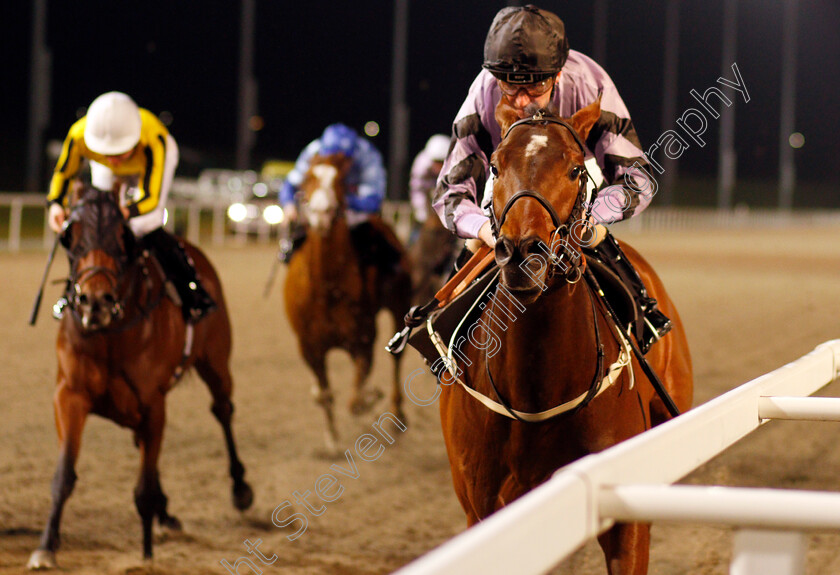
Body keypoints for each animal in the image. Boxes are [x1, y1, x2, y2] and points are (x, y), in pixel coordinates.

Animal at [28, 184, 253, 572]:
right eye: (72, 236)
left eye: (123, 238)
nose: (95, 301)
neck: (111, 334)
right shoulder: (71, 395)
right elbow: (63, 475)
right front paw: (46, 547)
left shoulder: (153, 405)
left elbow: (143, 489)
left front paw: (146, 552)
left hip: (215, 363)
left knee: (223, 410)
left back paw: (239, 488)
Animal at [284, 153, 412, 454]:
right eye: (307, 179)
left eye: (340, 182)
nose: (322, 213)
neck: (326, 289)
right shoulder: (309, 347)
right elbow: (325, 394)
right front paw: (332, 436)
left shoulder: (363, 341)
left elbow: (356, 400)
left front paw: (370, 397)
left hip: (400, 304)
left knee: (397, 359)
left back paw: (397, 414)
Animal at [436, 100, 692, 575]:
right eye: (495, 166)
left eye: (575, 168)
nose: (522, 253)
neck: (536, 391)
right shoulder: (484, 513)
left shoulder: (626, 510)